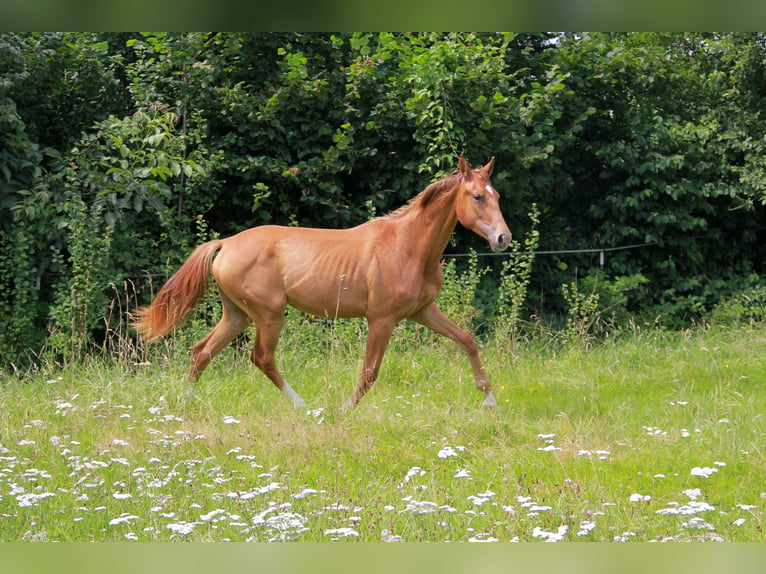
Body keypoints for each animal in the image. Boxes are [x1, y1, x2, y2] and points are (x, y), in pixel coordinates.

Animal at [134, 155, 512, 412]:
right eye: (477, 196)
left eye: (497, 196)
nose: (503, 238)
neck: (407, 247)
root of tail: (226, 244)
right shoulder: (382, 319)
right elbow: (369, 372)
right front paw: (342, 411)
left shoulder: (422, 311)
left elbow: (467, 340)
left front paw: (490, 402)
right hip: (269, 314)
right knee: (261, 358)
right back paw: (306, 408)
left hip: (237, 315)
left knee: (202, 351)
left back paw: (181, 405)